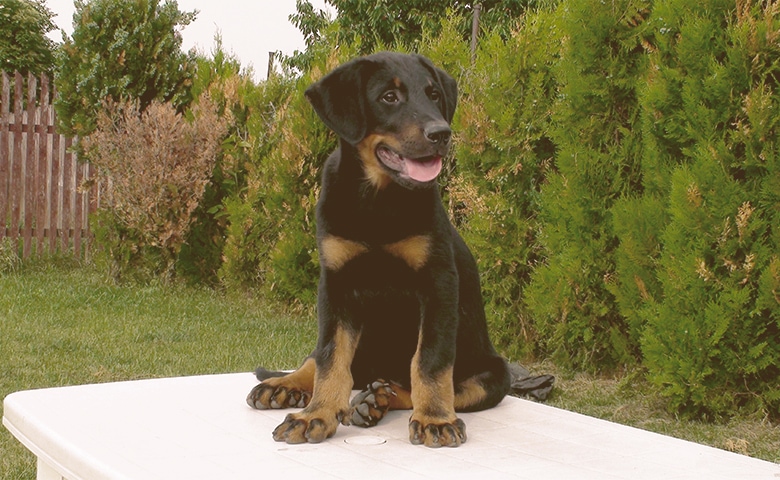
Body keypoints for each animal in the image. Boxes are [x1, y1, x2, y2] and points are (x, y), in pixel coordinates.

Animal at [247, 51, 508, 446]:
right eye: (389, 97)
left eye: (433, 95)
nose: (441, 134)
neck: (378, 199)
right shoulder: (336, 284)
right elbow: (331, 358)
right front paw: (316, 414)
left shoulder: (438, 283)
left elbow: (429, 361)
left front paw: (435, 418)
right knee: (318, 360)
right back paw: (286, 385)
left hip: (495, 374)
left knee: (419, 384)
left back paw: (377, 399)